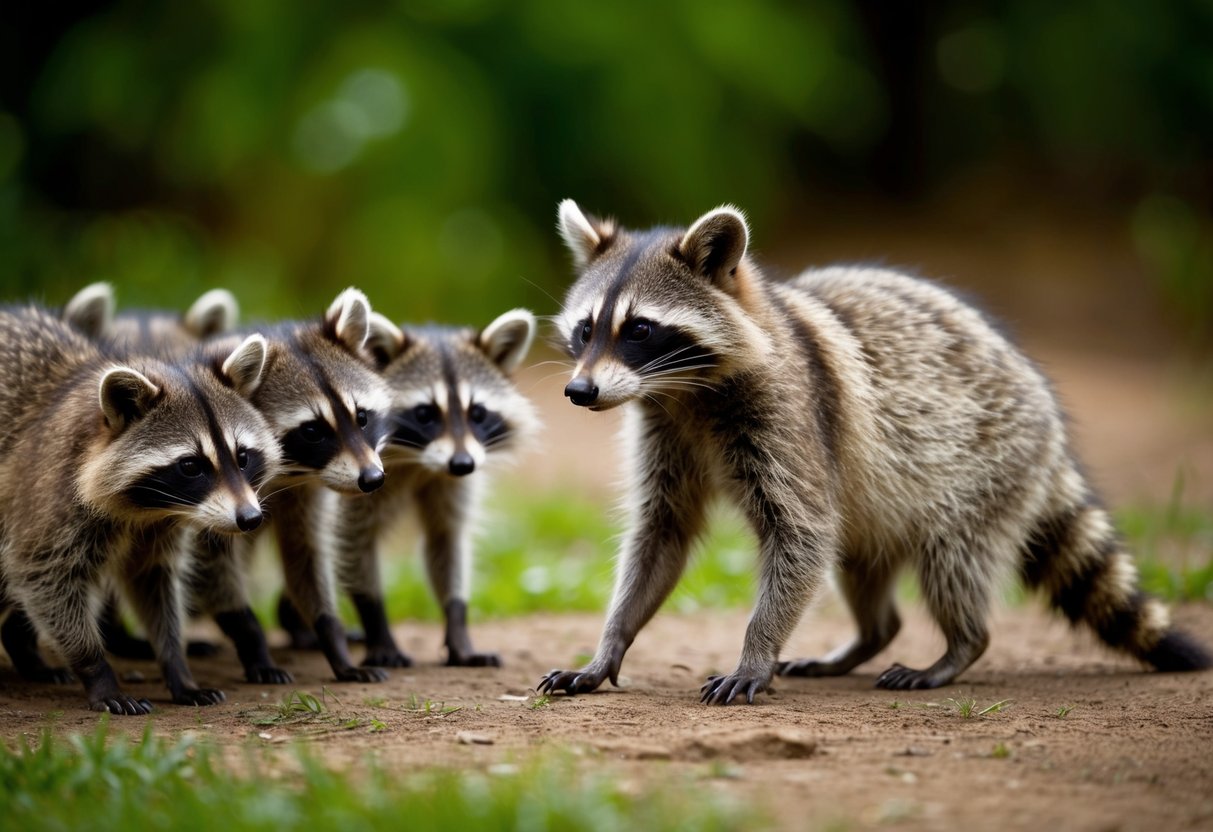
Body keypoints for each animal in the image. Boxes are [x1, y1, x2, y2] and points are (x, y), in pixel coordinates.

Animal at [0, 306, 279, 714]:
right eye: (191, 466)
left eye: (242, 457)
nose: (250, 519)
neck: (147, 507)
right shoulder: (47, 497)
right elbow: (44, 575)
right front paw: (96, 670)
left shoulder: (159, 530)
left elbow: (153, 581)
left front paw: (176, 666)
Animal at [278, 309, 540, 668]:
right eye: (425, 413)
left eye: (477, 413)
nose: (462, 464)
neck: (419, 462)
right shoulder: (354, 479)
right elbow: (349, 540)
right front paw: (376, 624)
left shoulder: (448, 480)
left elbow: (446, 537)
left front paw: (457, 624)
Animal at [537, 200, 1212, 706]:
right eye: (586, 329)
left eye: (639, 330)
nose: (579, 392)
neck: (685, 393)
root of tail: (1047, 416)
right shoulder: (665, 432)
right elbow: (662, 533)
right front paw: (609, 646)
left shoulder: (791, 417)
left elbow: (802, 534)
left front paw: (756, 650)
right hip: (882, 504)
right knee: (860, 563)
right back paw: (868, 638)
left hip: (986, 466)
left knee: (953, 560)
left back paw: (961, 644)